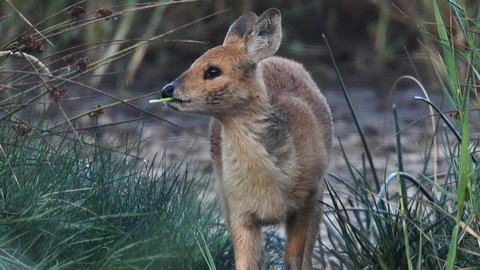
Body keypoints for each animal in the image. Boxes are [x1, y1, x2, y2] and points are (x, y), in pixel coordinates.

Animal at [159, 7, 332, 270]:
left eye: (213, 70)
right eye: (193, 63)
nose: (167, 89)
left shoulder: (307, 200)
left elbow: (294, 259)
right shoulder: (240, 211)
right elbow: (246, 262)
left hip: (319, 200)